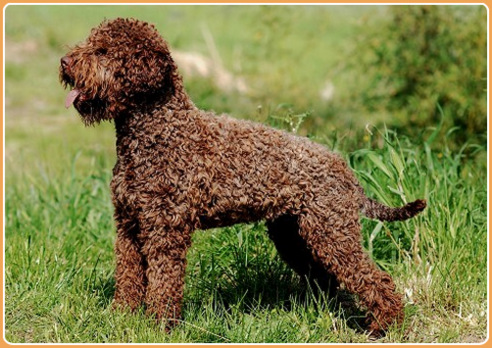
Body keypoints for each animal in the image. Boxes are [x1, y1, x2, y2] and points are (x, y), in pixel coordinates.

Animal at [59, 17, 424, 336]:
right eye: (92, 43)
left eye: (104, 50)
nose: (64, 62)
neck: (159, 132)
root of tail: (346, 170)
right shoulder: (128, 225)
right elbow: (129, 276)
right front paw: (122, 317)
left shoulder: (164, 230)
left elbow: (163, 282)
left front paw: (159, 326)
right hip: (295, 235)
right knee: (330, 281)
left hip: (332, 234)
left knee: (374, 279)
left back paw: (384, 325)